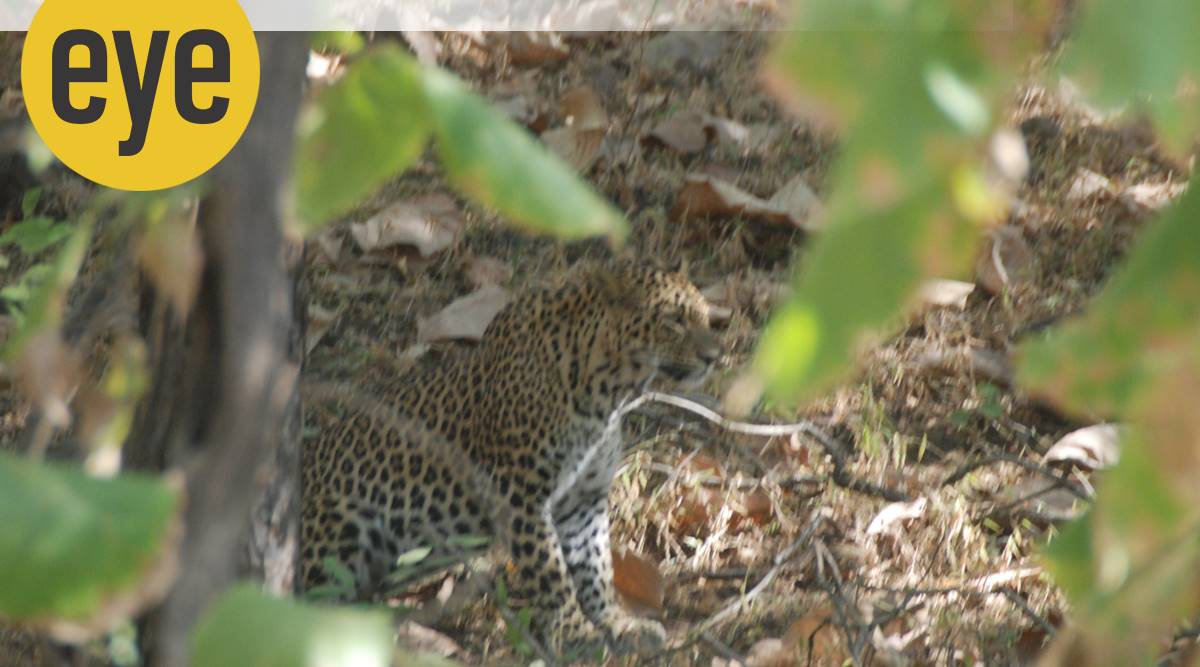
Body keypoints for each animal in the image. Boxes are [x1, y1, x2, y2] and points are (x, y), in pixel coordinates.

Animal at [300, 259, 721, 655]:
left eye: (705, 316)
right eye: (674, 319)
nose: (715, 357)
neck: (606, 391)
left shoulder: (582, 501)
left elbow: (595, 566)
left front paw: (616, 622)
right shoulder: (520, 498)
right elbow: (553, 574)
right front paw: (574, 633)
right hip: (341, 526)